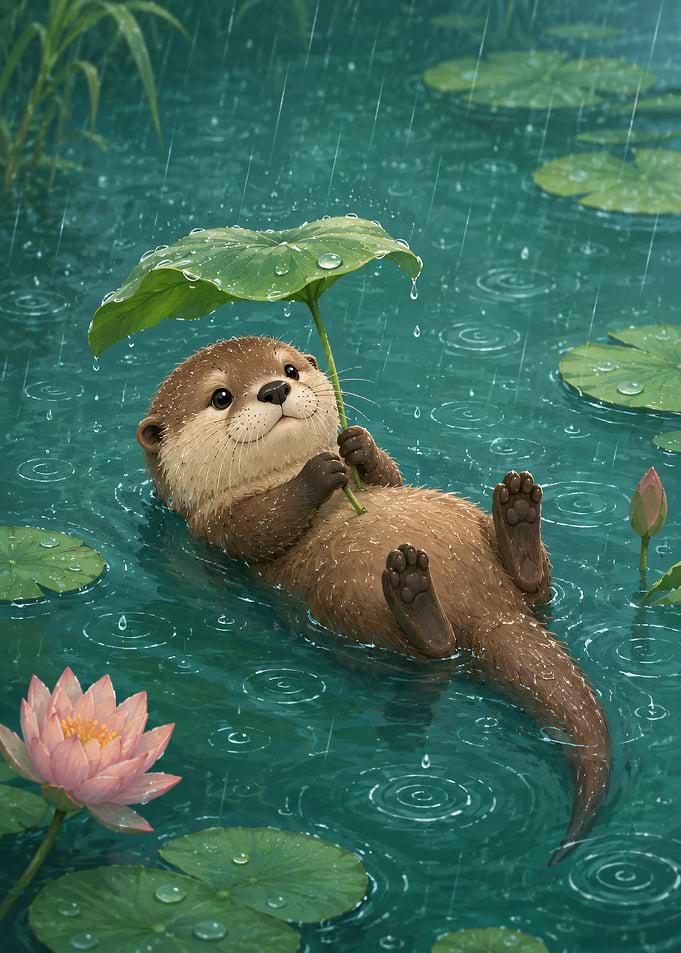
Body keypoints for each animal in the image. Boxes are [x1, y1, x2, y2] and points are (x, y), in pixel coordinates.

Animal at [136, 335, 611, 865]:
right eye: (221, 397)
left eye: (290, 368)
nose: (275, 389)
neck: (274, 473)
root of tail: (491, 613)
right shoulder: (215, 524)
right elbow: (264, 525)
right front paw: (316, 474)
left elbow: (389, 477)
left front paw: (358, 445)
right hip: (353, 607)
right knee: (439, 651)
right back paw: (413, 592)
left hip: (474, 529)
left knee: (537, 590)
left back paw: (518, 515)